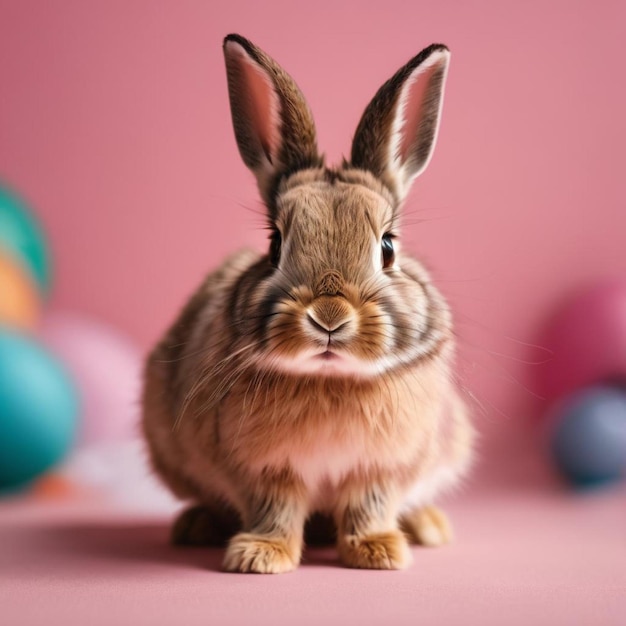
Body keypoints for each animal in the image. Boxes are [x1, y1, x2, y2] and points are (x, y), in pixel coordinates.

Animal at [141, 33, 472, 572]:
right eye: (275, 244)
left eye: (388, 247)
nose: (329, 317)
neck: (330, 379)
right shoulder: (263, 470)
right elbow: (275, 509)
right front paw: (259, 556)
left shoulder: (381, 469)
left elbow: (368, 506)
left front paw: (379, 552)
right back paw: (196, 526)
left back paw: (427, 527)